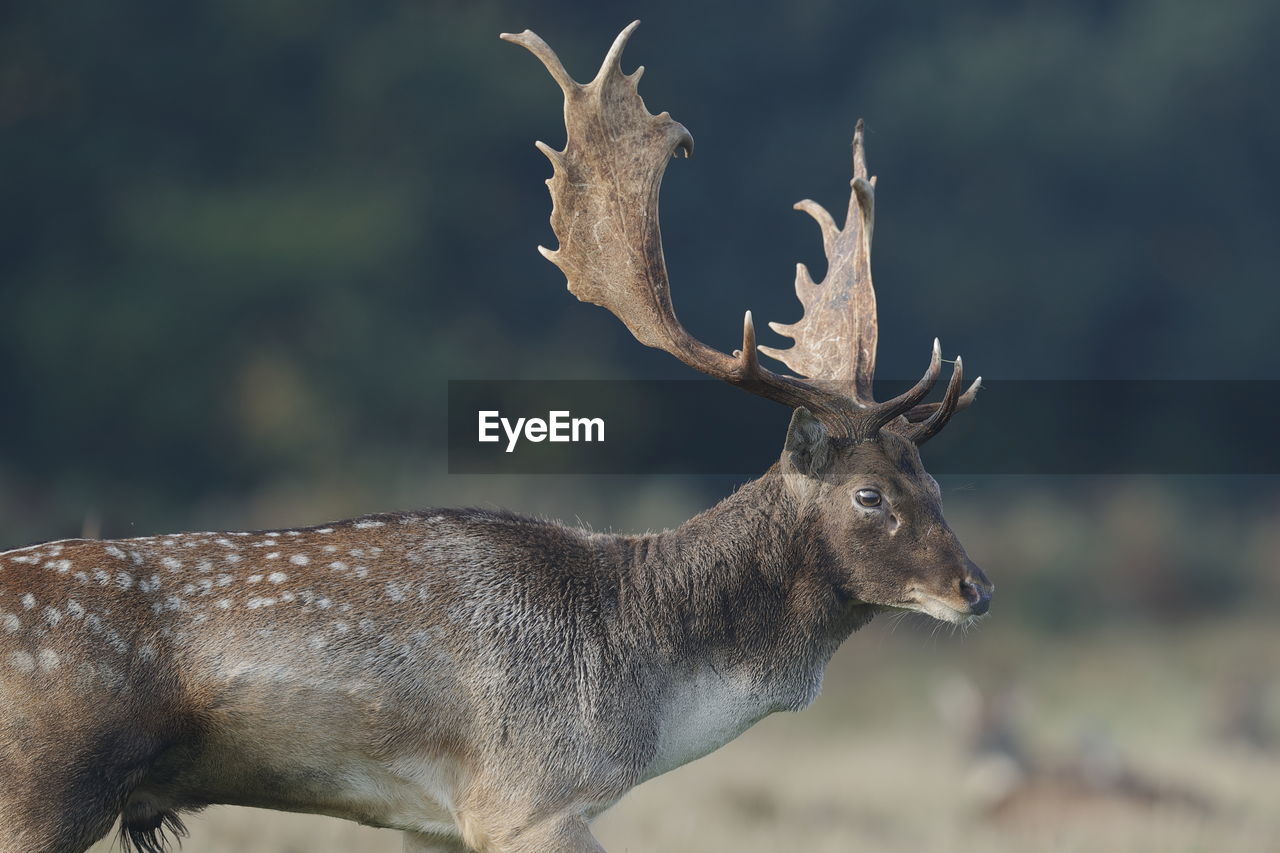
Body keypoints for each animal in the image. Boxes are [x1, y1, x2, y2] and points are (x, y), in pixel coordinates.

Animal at [0, 19, 988, 850]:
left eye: (937, 484)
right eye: (870, 494)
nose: (975, 588)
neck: (649, 686)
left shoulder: (433, 820)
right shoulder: (530, 795)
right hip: (45, 791)